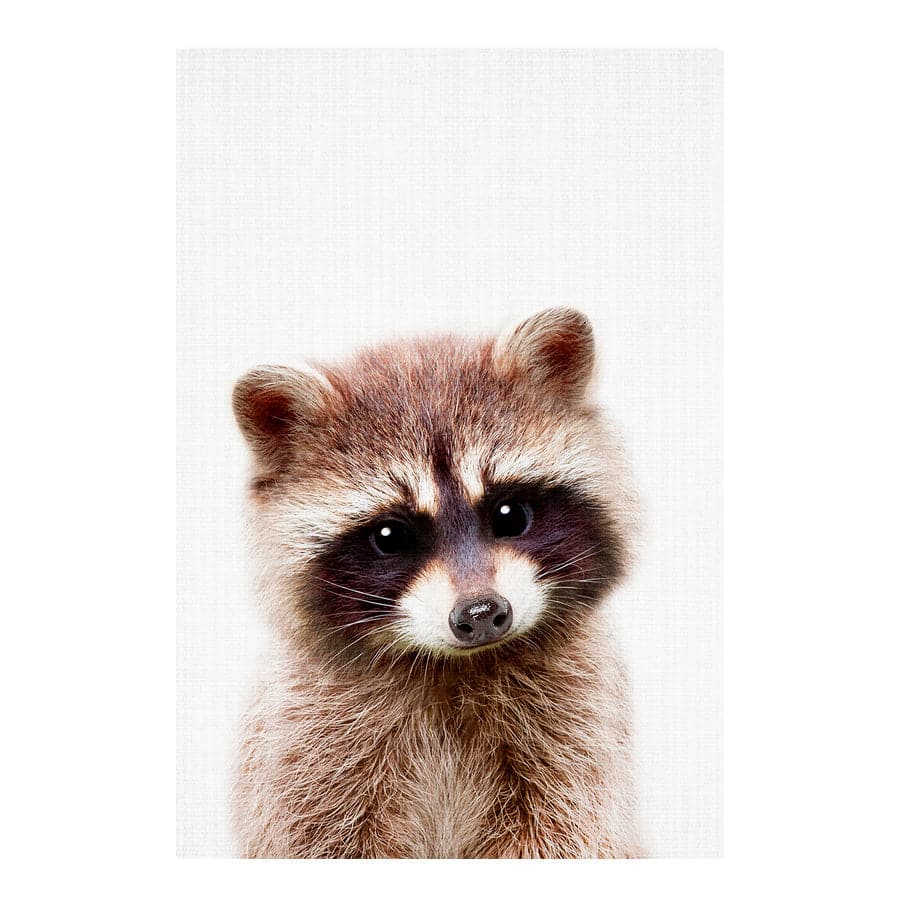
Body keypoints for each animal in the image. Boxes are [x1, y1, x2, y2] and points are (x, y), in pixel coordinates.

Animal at [231, 308, 643, 858]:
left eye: (510, 514)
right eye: (390, 536)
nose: (481, 614)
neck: (454, 666)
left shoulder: (578, 728)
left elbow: (568, 828)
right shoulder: (305, 745)